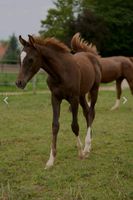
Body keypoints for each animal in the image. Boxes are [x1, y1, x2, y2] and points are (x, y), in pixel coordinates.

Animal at [15, 34, 101, 167]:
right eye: (20, 58)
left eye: (30, 59)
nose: (19, 83)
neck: (61, 72)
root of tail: (90, 55)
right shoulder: (55, 98)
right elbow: (55, 126)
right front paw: (51, 160)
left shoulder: (73, 98)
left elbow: (74, 126)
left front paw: (81, 152)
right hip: (82, 95)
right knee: (87, 113)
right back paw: (89, 147)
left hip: (94, 90)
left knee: (91, 113)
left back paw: (86, 147)